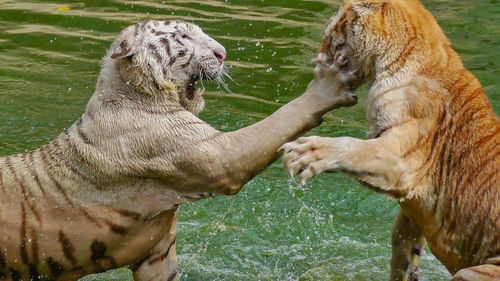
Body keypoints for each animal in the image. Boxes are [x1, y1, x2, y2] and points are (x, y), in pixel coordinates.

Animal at [0, 20, 360, 280]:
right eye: (184, 36)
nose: (223, 53)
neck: (136, 91)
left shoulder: (156, 251)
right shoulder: (216, 155)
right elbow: (278, 121)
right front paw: (330, 83)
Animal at [282, 0, 500, 278]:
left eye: (328, 36)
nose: (317, 59)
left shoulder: (402, 159)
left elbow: (353, 148)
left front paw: (303, 154)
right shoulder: (412, 211)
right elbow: (402, 244)